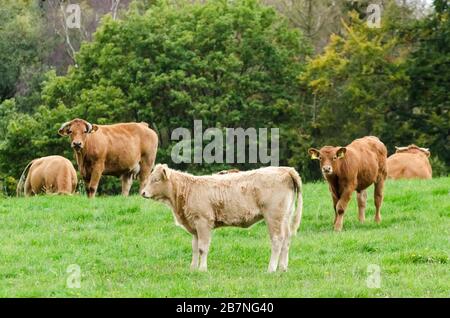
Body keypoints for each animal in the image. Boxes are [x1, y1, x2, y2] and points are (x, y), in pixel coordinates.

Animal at [141, 165, 302, 272]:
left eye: (156, 180)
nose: (142, 192)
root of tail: (285, 169)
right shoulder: (194, 225)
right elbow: (194, 248)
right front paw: (193, 268)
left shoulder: (203, 222)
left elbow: (202, 248)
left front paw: (202, 269)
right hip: (285, 217)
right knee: (286, 240)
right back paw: (283, 268)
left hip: (274, 217)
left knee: (277, 240)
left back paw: (271, 269)